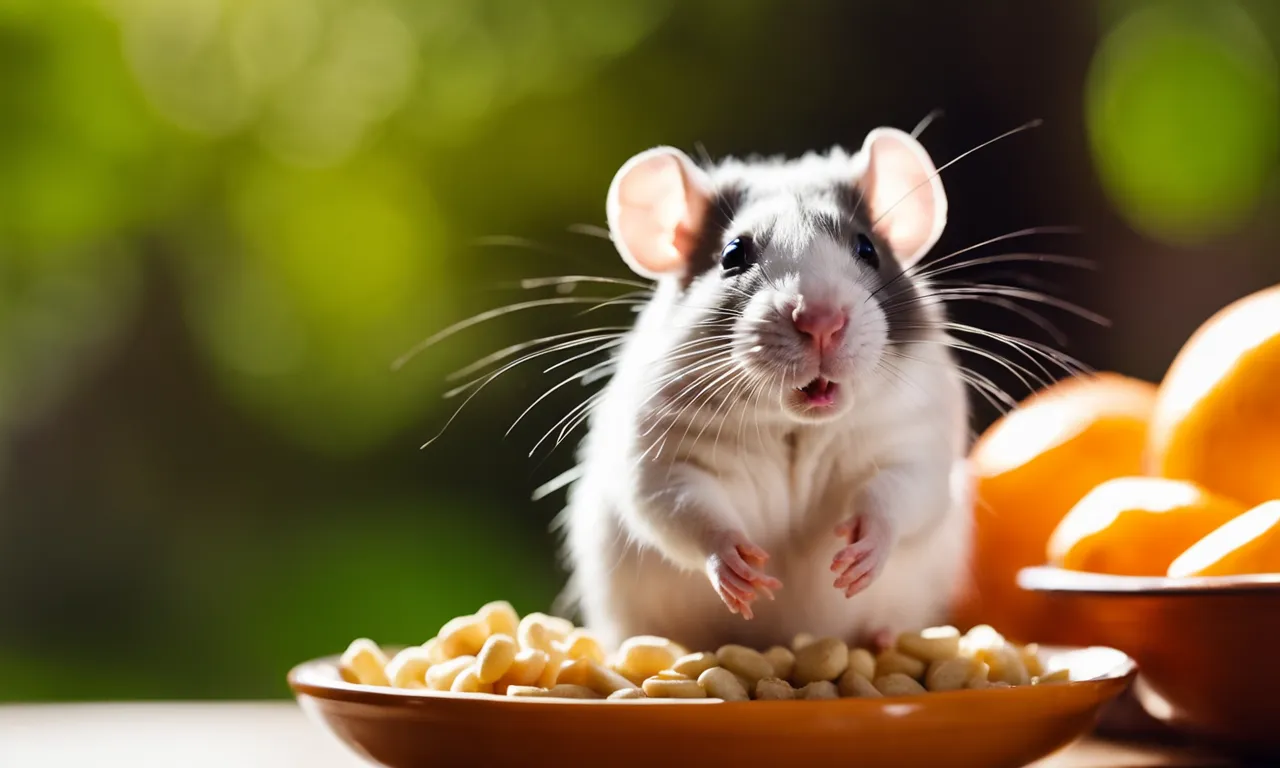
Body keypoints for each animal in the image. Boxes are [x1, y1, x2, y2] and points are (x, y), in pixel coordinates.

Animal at [556, 127, 973, 653]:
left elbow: (903, 493)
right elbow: (674, 504)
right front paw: (731, 560)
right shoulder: (661, 448)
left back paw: (882, 636)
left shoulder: (913, 434)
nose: (821, 320)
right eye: (733, 254)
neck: (794, 426)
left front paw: (867, 545)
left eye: (867, 249)